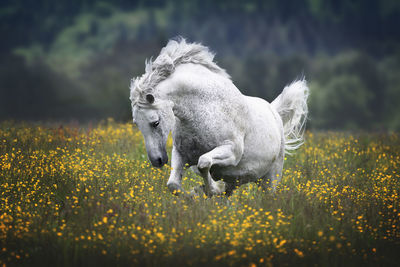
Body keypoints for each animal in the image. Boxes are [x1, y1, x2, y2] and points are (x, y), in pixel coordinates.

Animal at [130, 38, 308, 197]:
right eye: (137, 124)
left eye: (155, 122)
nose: (157, 160)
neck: (204, 107)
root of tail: (274, 112)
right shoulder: (181, 154)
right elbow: (173, 184)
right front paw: (196, 193)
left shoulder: (232, 151)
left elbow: (203, 163)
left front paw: (211, 189)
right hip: (236, 181)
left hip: (270, 180)